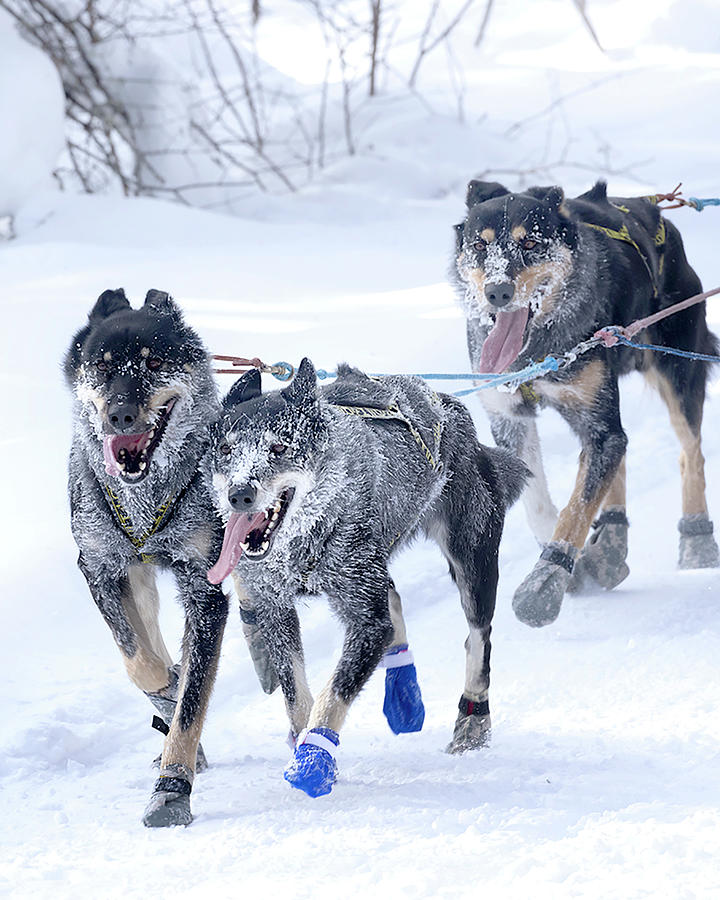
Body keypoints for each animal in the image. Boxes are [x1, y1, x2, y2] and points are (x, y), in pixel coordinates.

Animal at [205, 356, 524, 796]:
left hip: (472, 564)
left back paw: (473, 716)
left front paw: (314, 759)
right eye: (226, 449)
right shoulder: (275, 608)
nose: (239, 493)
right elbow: (295, 690)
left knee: (478, 635)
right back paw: (404, 693)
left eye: (279, 447)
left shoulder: (367, 621)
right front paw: (302, 738)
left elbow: (335, 692)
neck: (310, 531)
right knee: (395, 603)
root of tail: (449, 405)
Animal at [452, 176, 716, 624]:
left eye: (530, 242)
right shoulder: (511, 420)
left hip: (675, 373)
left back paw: (696, 539)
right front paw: (569, 566)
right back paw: (611, 539)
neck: (538, 349)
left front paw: (546, 581)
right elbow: (540, 505)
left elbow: (576, 509)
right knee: (617, 454)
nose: (497, 292)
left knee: (688, 453)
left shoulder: (597, 422)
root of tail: (656, 210)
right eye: (480, 245)